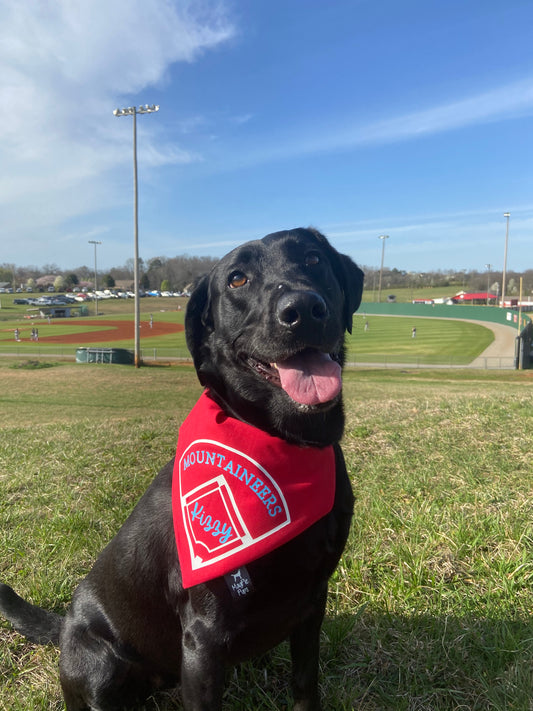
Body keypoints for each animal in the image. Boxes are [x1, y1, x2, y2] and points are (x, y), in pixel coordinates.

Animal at [0, 229, 362, 711]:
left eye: (314, 258)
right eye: (237, 279)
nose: (302, 308)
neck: (283, 441)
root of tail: (63, 629)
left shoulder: (312, 603)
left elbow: (305, 685)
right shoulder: (204, 636)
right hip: (99, 665)